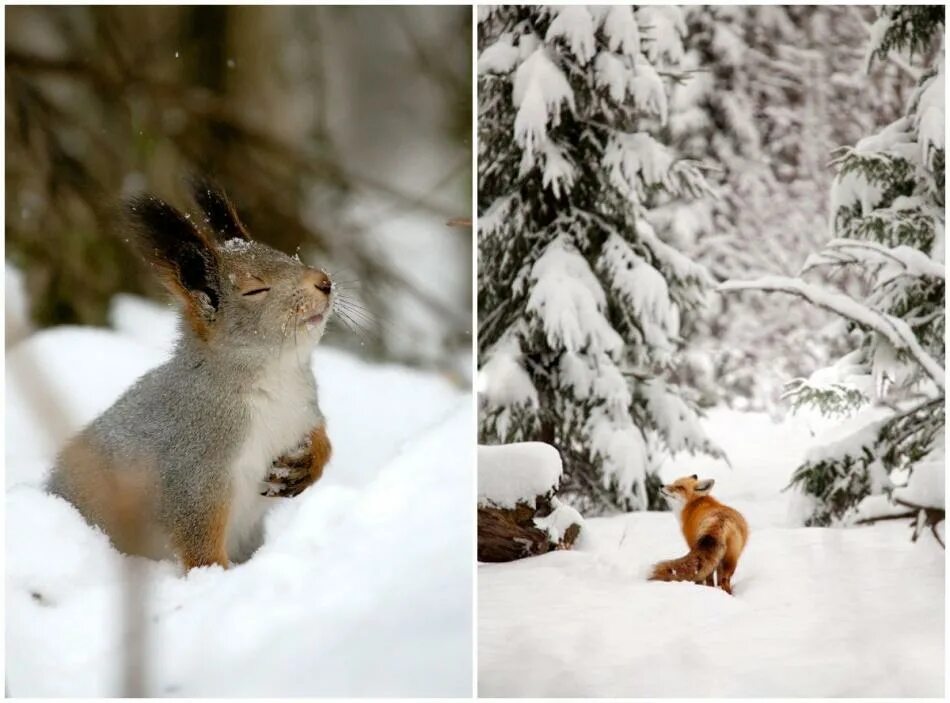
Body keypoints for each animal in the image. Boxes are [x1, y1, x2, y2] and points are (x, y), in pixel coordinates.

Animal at [45, 177, 334, 572]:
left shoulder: (304, 409)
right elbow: (198, 537)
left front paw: (308, 462)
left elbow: (321, 437)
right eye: (255, 289)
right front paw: (215, 577)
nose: (324, 281)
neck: (276, 378)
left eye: (289, 256)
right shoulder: (194, 466)